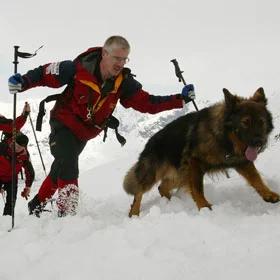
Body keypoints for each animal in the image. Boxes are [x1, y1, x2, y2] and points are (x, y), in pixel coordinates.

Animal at [123, 87, 278, 217]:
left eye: (261, 122)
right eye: (245, 122)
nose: (259, 142)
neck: (223, 138)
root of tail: (149, 141)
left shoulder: (242, 162)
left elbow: (256, 178)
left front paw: (268, 193)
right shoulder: (194, 163)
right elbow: (198, 189)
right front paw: (204, 208)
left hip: (180, 174)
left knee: (162, 187)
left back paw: (171, 201)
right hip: (154, 174)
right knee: (139, 191)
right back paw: (135, 213)